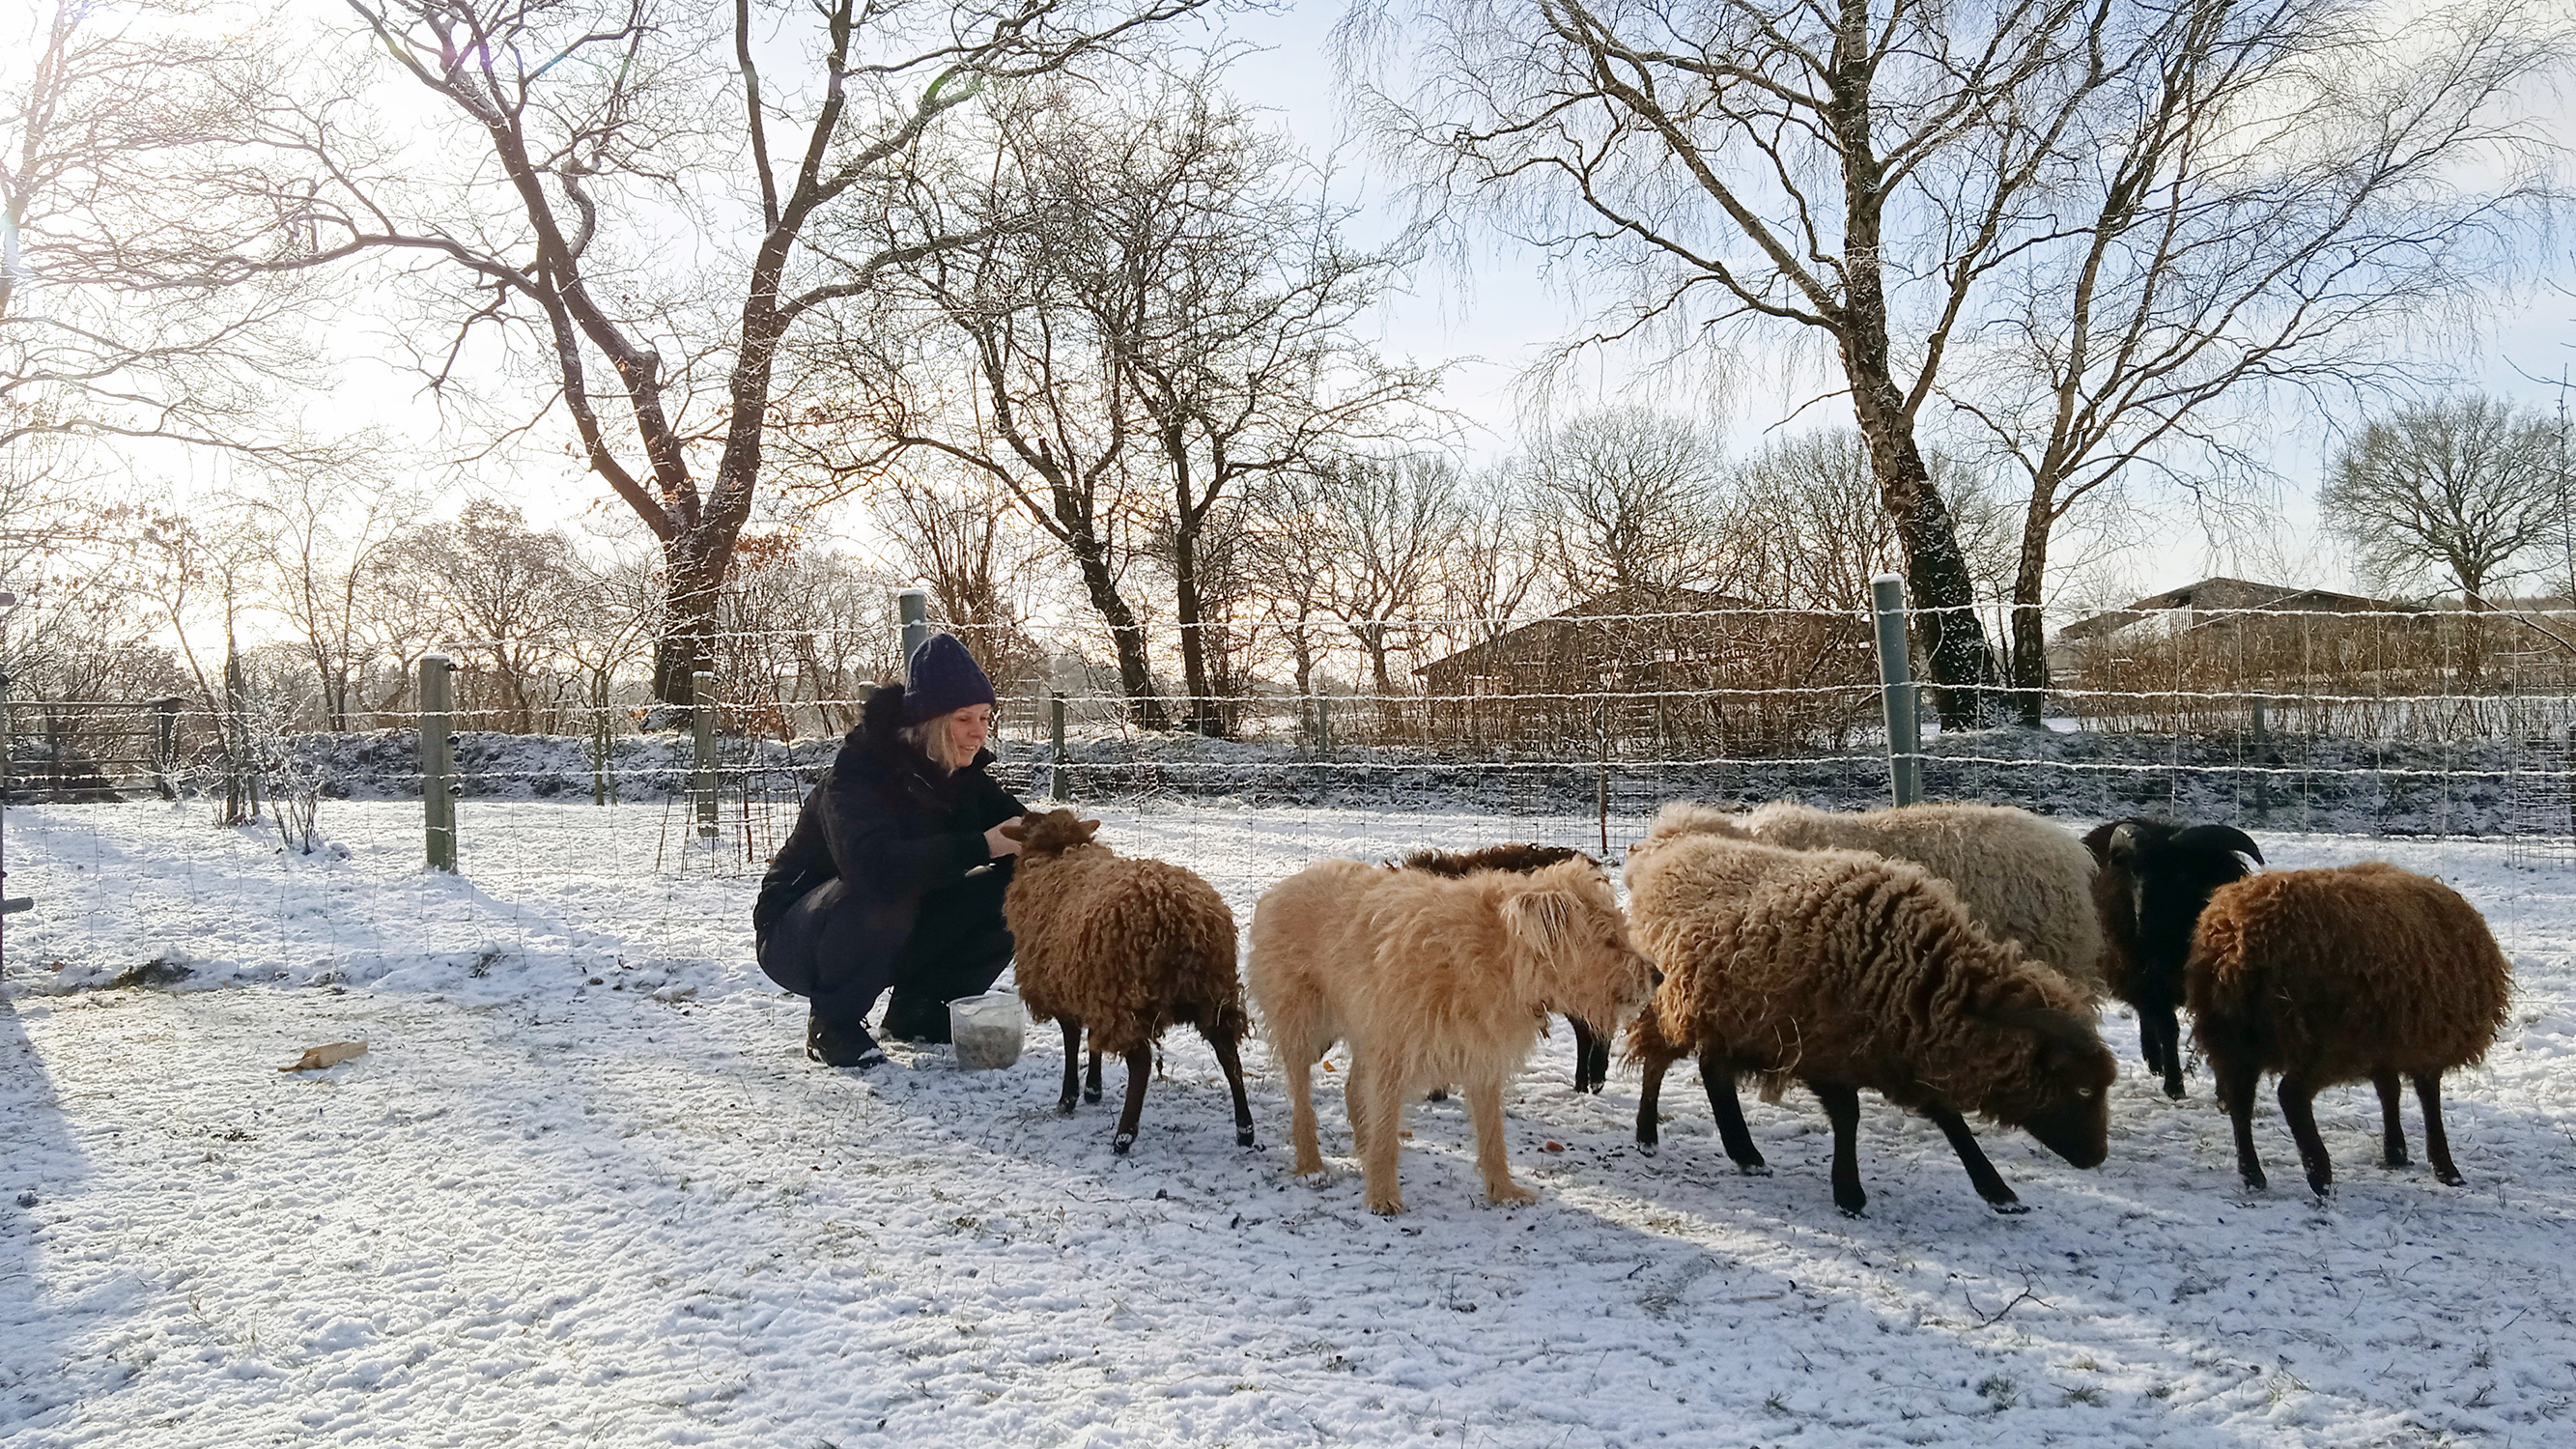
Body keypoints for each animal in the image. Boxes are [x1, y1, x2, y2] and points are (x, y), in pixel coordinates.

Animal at [999, 809, 1255, 1155]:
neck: (1059, 852)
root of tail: (1180, 916)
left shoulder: (1063, 989)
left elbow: (1071, 1038)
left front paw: (1069, 1098)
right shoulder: (1088, 989)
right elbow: (1092, 1039)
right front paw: (1093, 1089)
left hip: (1126, 998)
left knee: (1142, 1063)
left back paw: (1123, 1136)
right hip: (1212, 993)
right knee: (1229, 1055)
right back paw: (1245, 1130)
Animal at [2081, 818, 2265, 1099]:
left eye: (2182, 875)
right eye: (2136, 873)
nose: (2144, 922)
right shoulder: (2149, 980)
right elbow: (2168, 1029)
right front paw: (2175, 1085)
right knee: (2147, 1014)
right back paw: (2155, 1060)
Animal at [2185, 862, 2512, 1197]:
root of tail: (2235, 942)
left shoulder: (2388, 1042)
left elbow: (2389, 1090)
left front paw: (2396, 1151)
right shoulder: (2427, 1043)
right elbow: (2428, 1099)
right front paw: (2445, 1168)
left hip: (2235, 1038)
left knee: (2240, 1100)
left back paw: (2253, 1175)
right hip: (2321, 1039)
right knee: (2291, 1095)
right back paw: (2320, 1176)